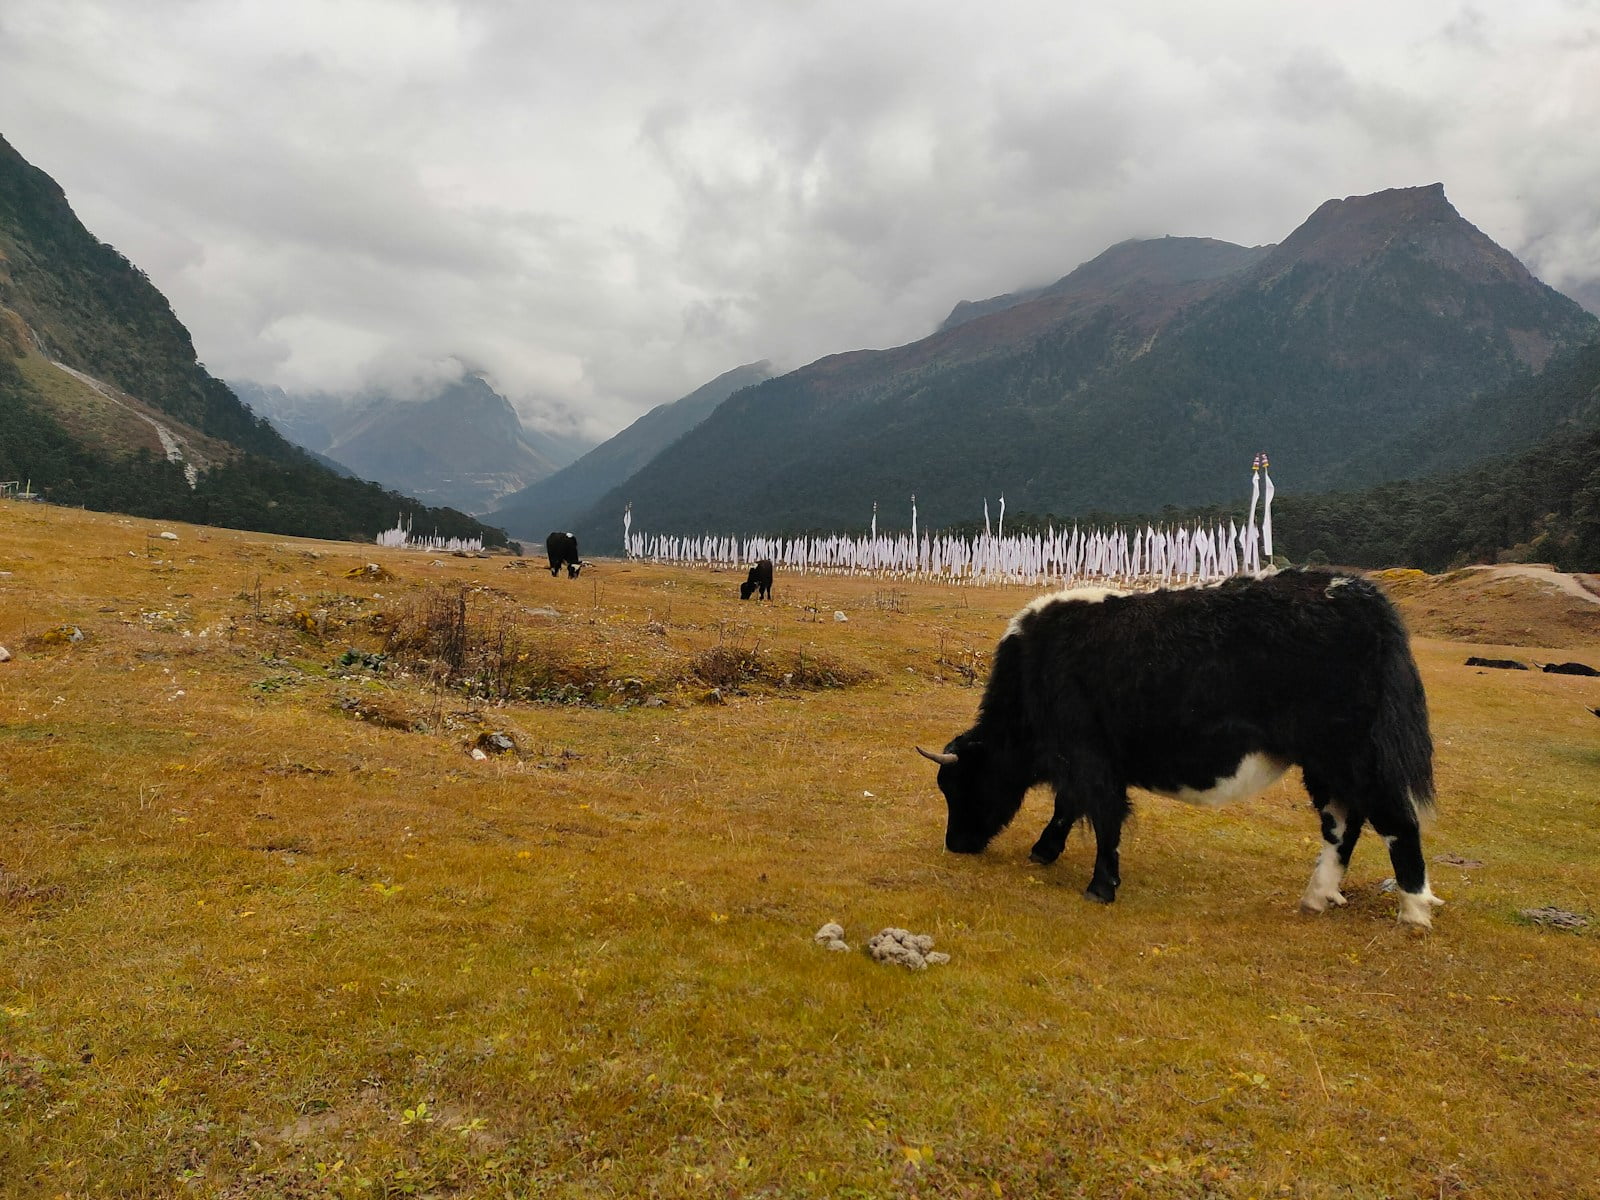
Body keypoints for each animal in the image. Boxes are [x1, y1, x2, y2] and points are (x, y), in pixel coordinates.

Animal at [917, 570, 1444, 927]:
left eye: (961, 786)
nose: (956, 844)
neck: (1034, 667)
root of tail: (1362, 595)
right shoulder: (1084, 761)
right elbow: (1069, 807)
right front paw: (1044, 852)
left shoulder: (1088, 756)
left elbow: (1103, 816)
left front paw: (1100, 888)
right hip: (1325, 763)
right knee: (1342, 821)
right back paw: (1317, 897)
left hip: (1353, 752)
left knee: (1395, 820)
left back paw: (1414, 910)